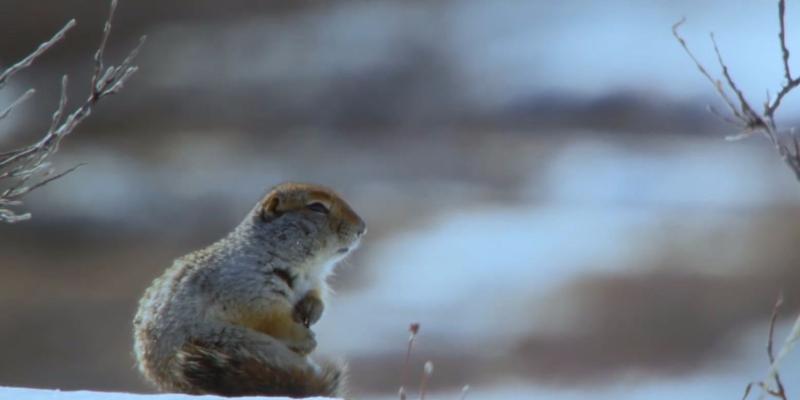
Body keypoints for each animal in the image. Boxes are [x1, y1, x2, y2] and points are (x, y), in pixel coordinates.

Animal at [134, 183, 366, 398]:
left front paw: (312, 310)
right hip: (237, 342)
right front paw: (305, 338)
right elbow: (272, 319)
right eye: (317, 207)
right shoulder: (249, 288)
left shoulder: (314, 281)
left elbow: (316, 295)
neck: (304, 268)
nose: (362, 228)